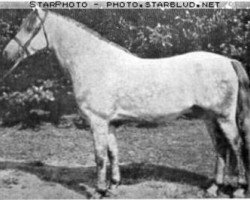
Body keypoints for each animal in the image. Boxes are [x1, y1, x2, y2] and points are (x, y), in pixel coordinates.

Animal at [2, 7, 250, 197]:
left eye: (29, 27)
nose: (6, 53)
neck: (95, 63)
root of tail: (228, 61)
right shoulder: (109, 123)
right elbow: (113, 153)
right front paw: (113, 186)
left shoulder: (98, 121)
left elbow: (100, 156)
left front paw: (99, 191)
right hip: (209, 117)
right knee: (221, 147)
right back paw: (214, 188)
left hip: (224, 117)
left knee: (236, 145)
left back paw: (238, 189)